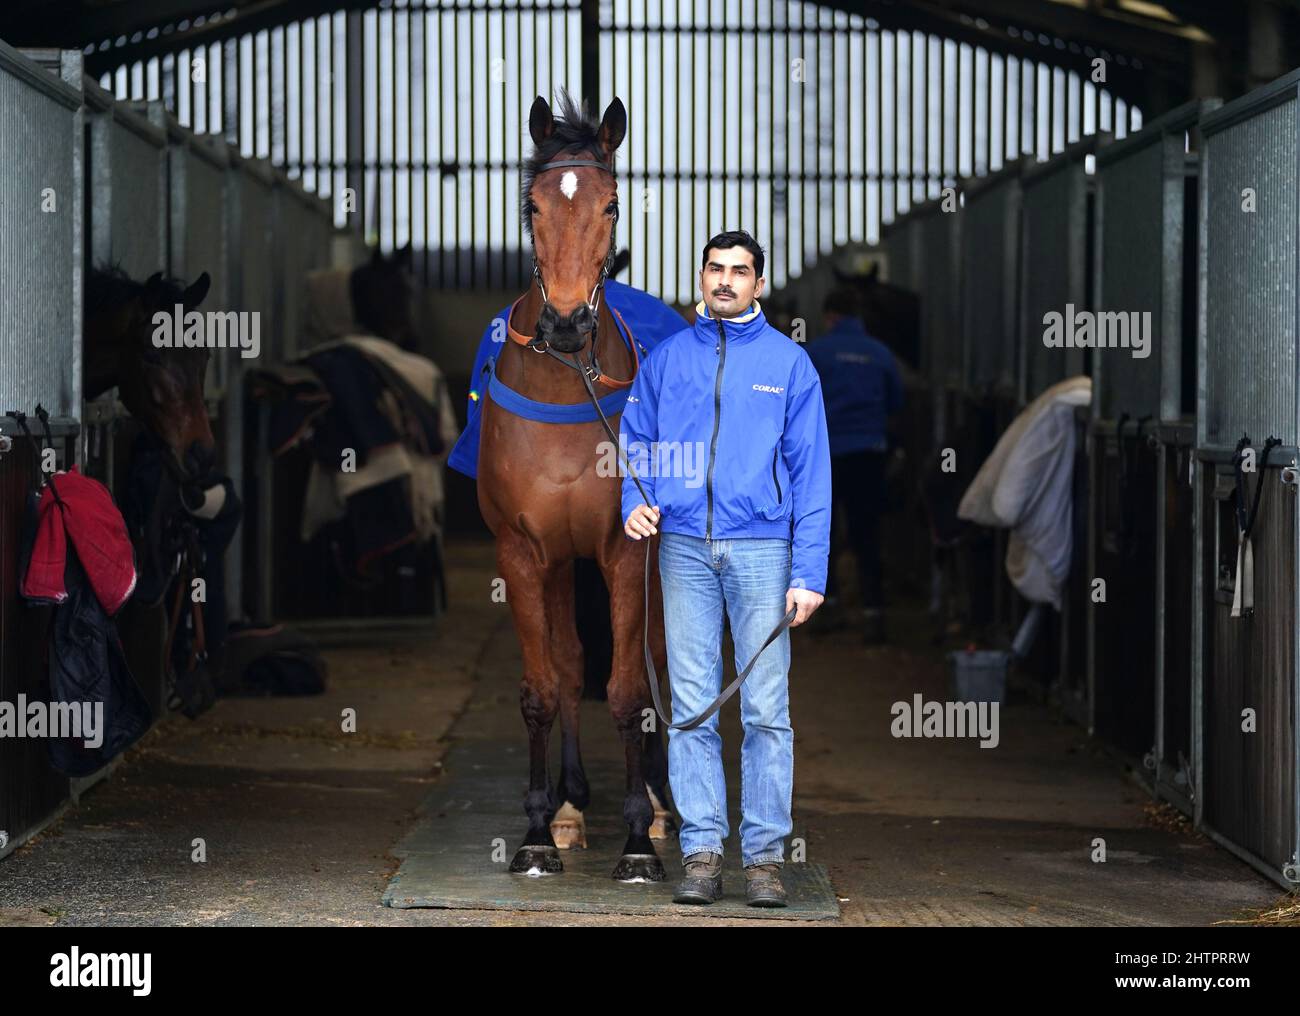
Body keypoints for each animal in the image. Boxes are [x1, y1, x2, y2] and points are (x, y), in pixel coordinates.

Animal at [480, 95, 681, 883]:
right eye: (532, 207)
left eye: (613, 205)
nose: (566, 322)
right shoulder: (524, 550)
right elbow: (543, 688)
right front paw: (539, 830)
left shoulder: (625, 551)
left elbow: (629, 689)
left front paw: (637, 841)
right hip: (560, 562)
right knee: (568, 662)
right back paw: (569, 805)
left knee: (657, 661)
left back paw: (657, 804)